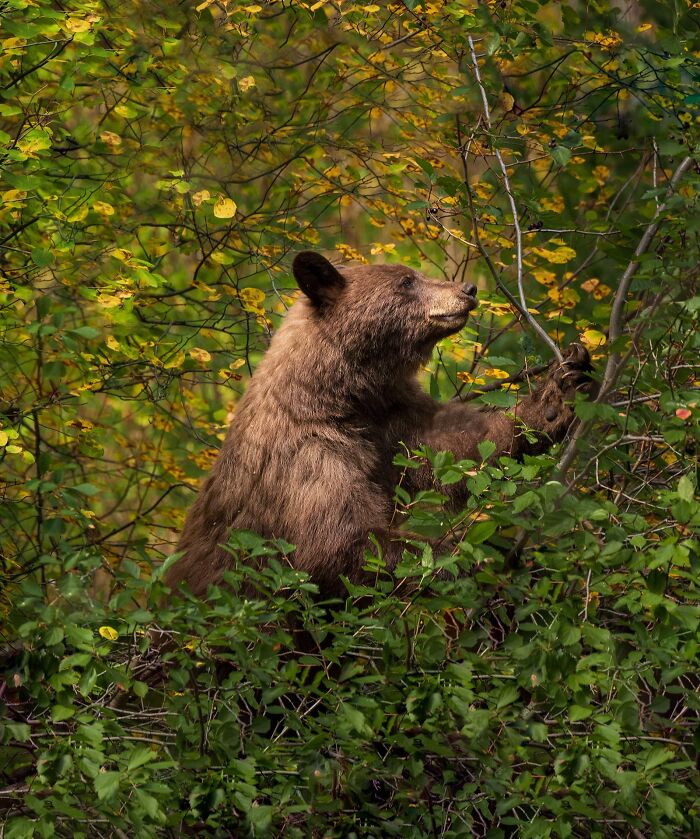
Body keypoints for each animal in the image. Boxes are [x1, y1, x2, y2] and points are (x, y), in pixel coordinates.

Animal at [166, 251, 592, 598]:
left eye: (414, 274)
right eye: (406, 281)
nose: (468, 288)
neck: (339, 396)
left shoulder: (390, 418)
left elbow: (455, 447)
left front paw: (557, 395)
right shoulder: (307, 458)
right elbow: (341, 542)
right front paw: (471, 559)